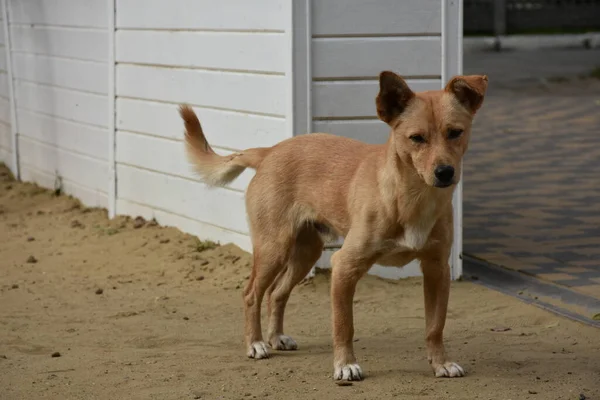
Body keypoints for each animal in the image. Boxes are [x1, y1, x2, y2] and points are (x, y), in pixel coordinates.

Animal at [178, 71, 488, 382]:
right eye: (416, 138)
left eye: (455, 132)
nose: (445, 172)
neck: (412, 199)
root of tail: (270, 151)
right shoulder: (344, 267)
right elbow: (344, 325)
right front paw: (345, 365)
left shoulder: (437, 269)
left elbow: (435, 326)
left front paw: (441, 363)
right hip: (273, 249)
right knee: (252, 294)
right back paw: (255, 343)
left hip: (306, 253)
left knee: (277, 293)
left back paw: (276, 337)